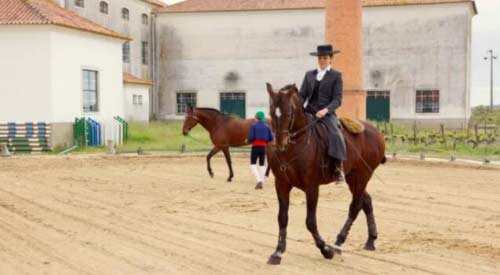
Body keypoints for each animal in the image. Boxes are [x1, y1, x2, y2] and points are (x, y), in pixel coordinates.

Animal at [266, 83, 386, 266]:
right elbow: (282, 218)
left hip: (362, 176)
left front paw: (326, 250)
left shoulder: (312, 187)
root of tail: (376, 132)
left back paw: (337, 244)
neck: (295, 146)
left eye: (289, 113)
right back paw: (370, 240)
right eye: (272, 112)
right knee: (366, 201)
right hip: (353, 177)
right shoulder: (281, 184)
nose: (280, 144)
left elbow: (310, 222)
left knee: (355, 206)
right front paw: (278, 252)